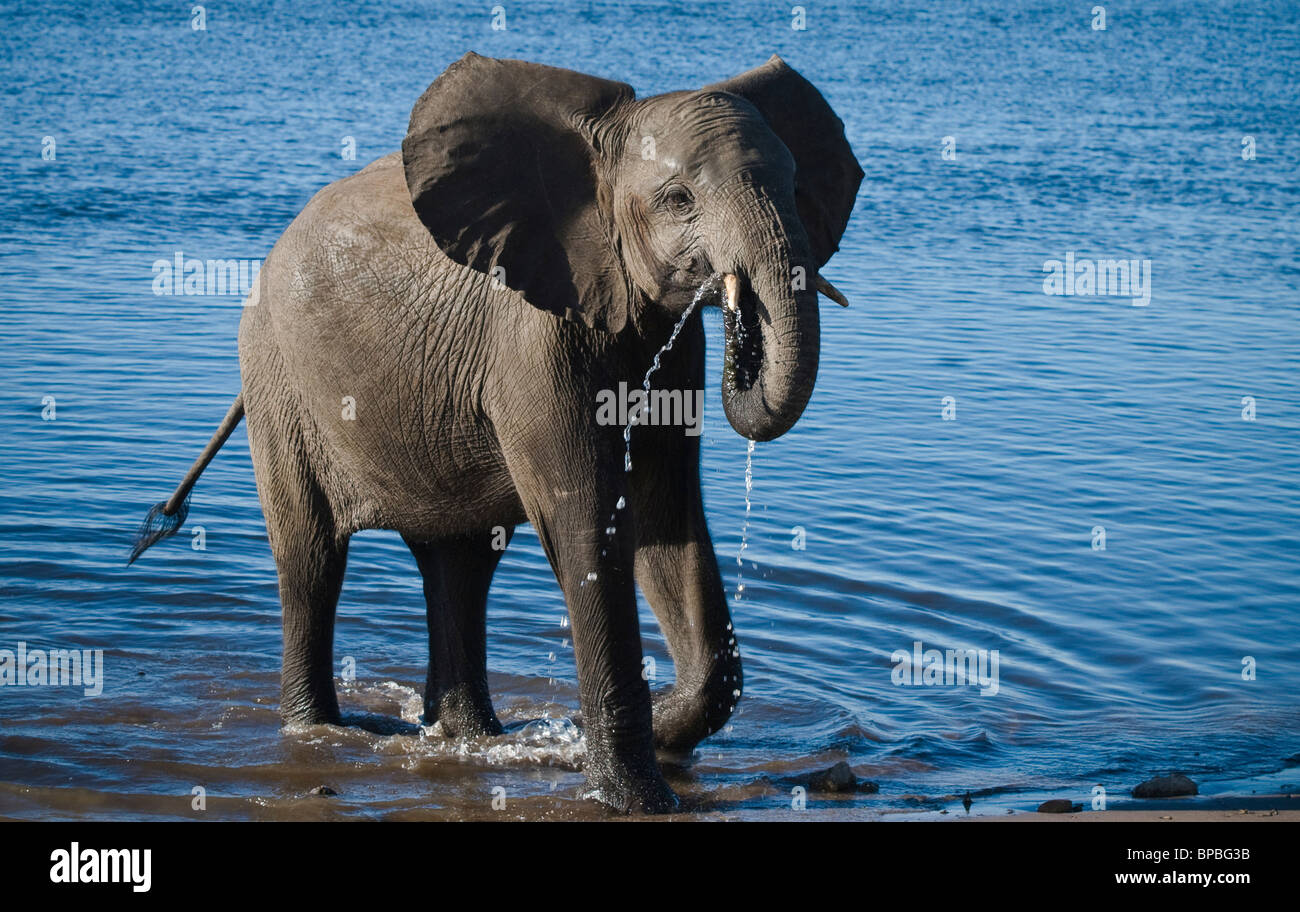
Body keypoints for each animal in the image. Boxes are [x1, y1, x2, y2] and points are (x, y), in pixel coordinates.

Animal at [129, 53, 863, 815]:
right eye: (679, 199)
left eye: (796, 187)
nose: (743, 320)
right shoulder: (531, 340)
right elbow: (588, 517)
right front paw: (633, 798)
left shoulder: (671, 345)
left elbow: (668, 511)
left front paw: (648, 734)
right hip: (277, 380)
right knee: (311, 561)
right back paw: (323, 731)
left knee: (460, 565)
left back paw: (469, 737)